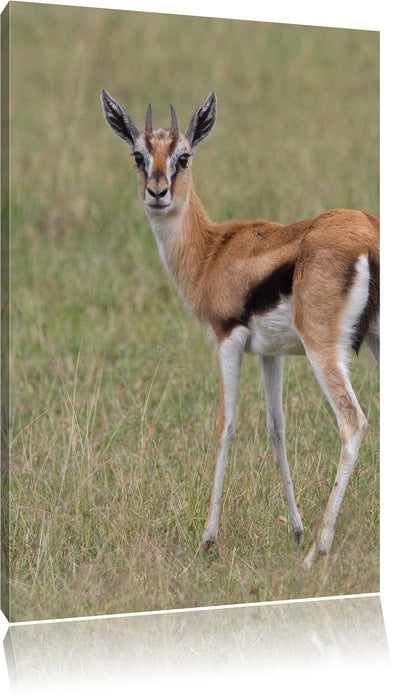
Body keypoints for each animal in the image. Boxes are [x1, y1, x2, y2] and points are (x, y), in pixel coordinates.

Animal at [101, 90, 379, 569]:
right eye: (139, 156)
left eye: (184, 157)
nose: (157, 192)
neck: (212, 252)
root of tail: (369, 237)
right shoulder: (270, 354)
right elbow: (276, 428)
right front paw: (294, 529)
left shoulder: (227, 340)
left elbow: (225, 425)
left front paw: (208, 538)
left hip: (323, 349)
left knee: (353, 422)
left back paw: (318, 552)